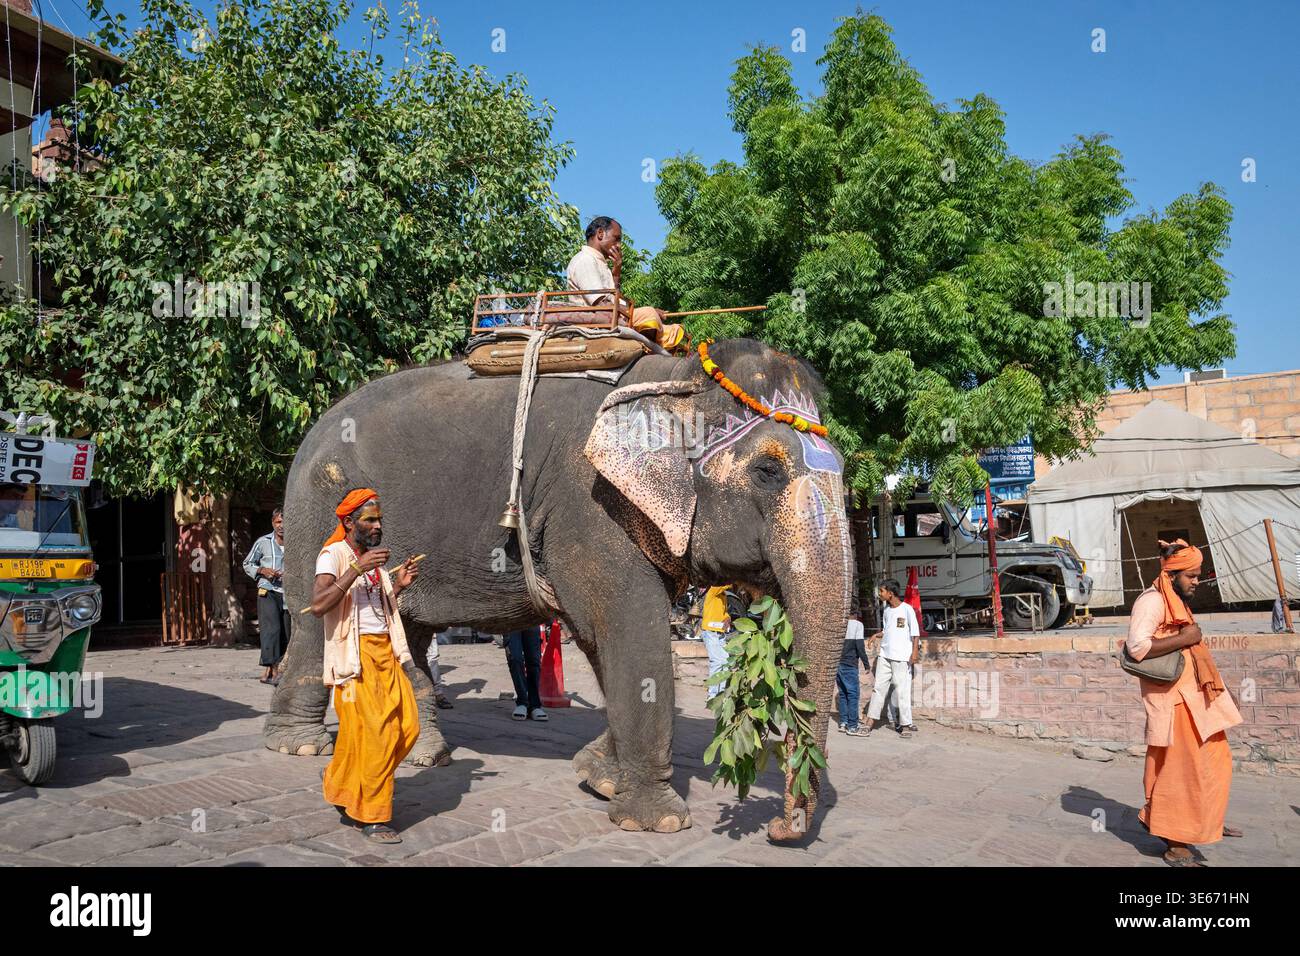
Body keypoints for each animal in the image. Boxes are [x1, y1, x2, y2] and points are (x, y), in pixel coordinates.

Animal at [263, 337, 853, 841]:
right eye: (768, 471)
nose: (779, 828)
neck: (675, 378)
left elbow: (602, 643)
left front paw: (597, 775)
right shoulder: (589, 504)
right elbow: (625, 629)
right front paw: (655, 822)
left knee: (410, 631)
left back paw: (425, 756)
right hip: (319, 509)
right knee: (316, 622)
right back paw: (298, 746)